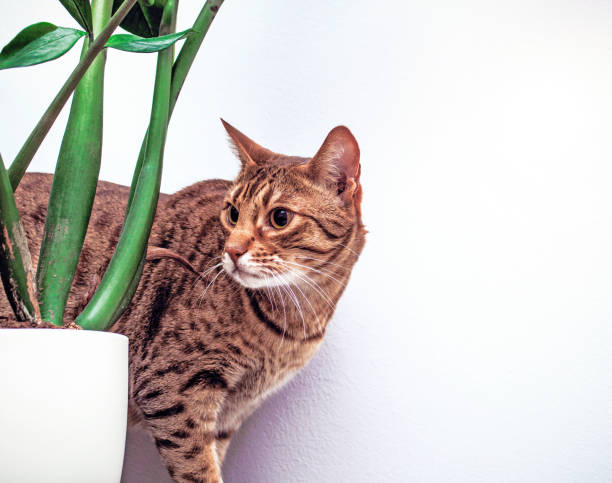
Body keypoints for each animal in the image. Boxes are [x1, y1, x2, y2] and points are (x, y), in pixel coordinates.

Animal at [1, 119, 364, 482]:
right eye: (232, 213)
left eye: (280, 218)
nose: (232, 251)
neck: (293, 320)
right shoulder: (172, 388)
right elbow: (199, 469)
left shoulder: (230, 412)